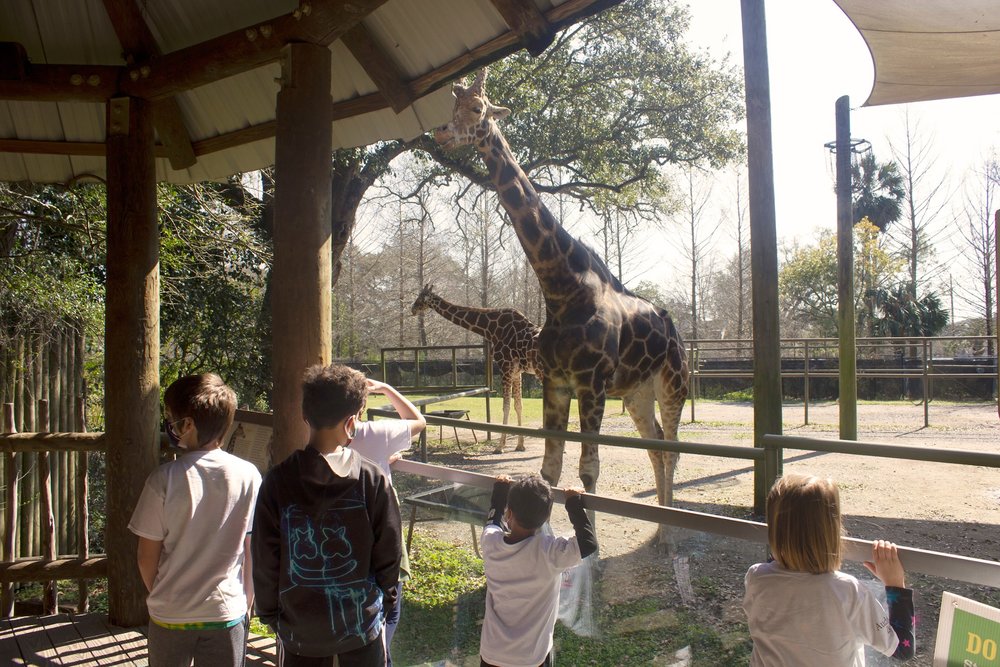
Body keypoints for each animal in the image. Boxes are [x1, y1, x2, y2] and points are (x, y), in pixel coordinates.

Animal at [411, 284, 542, 454]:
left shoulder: (505, 366)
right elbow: (518, 405)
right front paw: (520, 445)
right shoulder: (516, 371)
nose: (412, 309)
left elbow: (505, 406)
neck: (490, 328)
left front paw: (499, 447)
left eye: (420, 297)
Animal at [434, 70, 689, 532]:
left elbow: (589, 471)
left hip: (673, 384)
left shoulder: (591, 383)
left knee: (673, 450)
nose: (442, 132)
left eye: (478, 108)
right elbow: (550, 470)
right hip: (636, 392)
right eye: (452, 106)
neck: (561, 287)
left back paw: (669, 532)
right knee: (656, 445)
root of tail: (677, 331)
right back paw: (660, 529)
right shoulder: (555, 383)